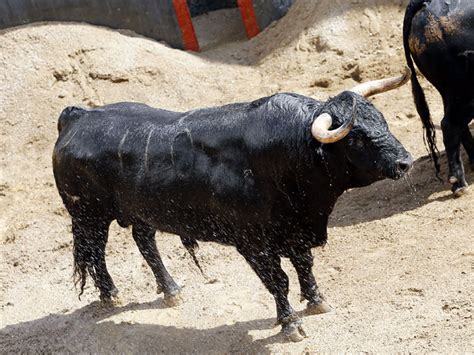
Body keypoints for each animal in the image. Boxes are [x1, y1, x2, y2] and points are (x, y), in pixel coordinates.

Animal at [53, 69, 412, 342]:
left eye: (383, 121)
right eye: (357, 138)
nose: (405, 161)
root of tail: (77, 117)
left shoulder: (295, 231)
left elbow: (304, 266)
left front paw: (316, 300)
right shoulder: (253, 243)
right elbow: (279, 280)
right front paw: (290, 324)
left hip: (143, 211)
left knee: (145, 243)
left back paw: (171, 290)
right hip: (88, 216)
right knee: (95, 253)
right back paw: (110, 294)